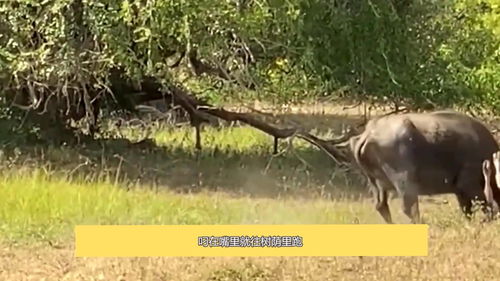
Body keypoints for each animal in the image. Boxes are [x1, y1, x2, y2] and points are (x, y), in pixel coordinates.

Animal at [348, 110, 500, 223]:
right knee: (409, 207)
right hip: (405, 180)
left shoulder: (460, 191)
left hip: (375, 182)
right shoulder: (469, 184)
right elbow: (483, 204)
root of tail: (369, 134)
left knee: (381, 206)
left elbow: (467, 210)